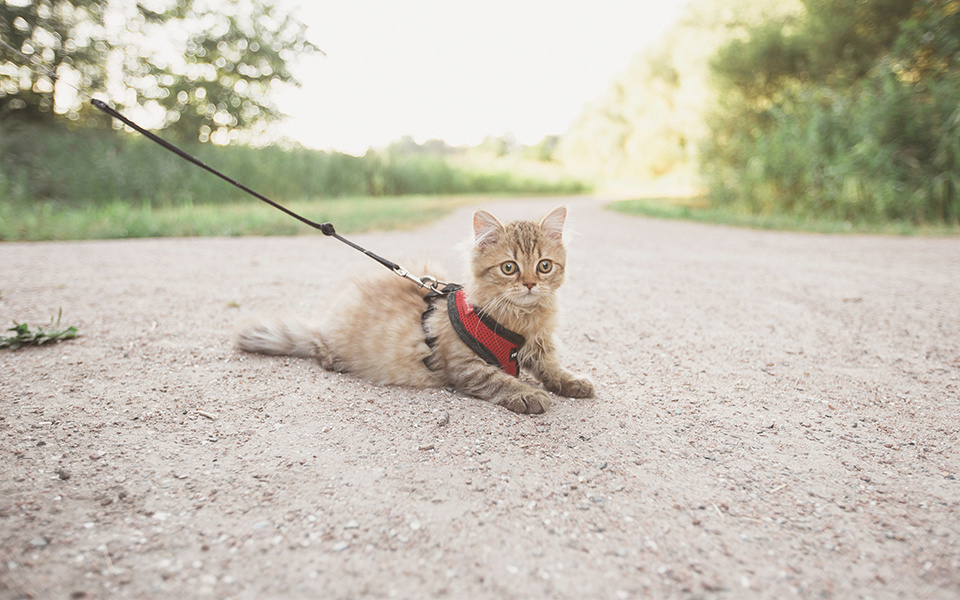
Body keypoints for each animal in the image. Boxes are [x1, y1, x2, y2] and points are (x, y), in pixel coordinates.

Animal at [237, 206, 596, 412]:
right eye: (509, 268)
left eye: (544, 266)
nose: (531, 284)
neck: (522, 322)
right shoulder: (466, 365)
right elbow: (501, 381)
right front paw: (527, 394)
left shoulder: (540, 348)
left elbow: (553, 370)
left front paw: (573, 383)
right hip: (333, 338)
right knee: (316, 344)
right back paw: (332, 359)